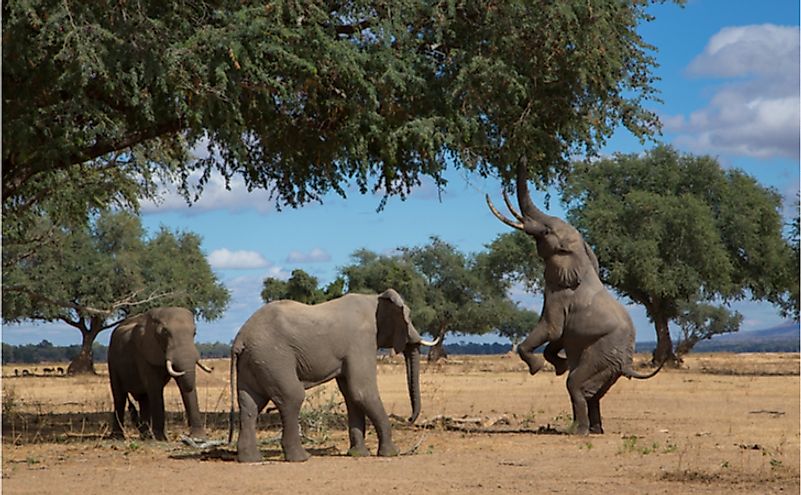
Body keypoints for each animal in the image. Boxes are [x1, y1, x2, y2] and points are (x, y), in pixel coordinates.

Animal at [111, 306, 216, 442]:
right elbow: (155, 387)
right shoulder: (144, 352)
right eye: (165, 332)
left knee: (144, 399)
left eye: (194, 332)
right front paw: (161, 438)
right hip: (112, 359)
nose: (213, 367)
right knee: (119, 396)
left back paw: (146, 437)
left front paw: (199, 437)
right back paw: (118, 437)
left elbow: (183, 384)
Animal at [225, 288, 438, 464]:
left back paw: (250, 459)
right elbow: (362, 392)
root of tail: (240, 338)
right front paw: (392, 453)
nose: (409, 419)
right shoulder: (361, 341)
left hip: (254, 361)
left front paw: (358, 454)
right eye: (408, 318)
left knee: (250, 404)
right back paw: (301, 458)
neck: (374, 299)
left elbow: (352, 396)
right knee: (291, 397)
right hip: (273, 358)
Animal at [484, 161, 660, 436]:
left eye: (546, 231)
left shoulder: (560, 295)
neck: (581, 257)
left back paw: (578, 431)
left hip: (602, 353)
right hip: (607, 363)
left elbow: (551, 329)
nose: (522, 159)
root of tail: (627, 363)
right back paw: (594, 430)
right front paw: (559, 364)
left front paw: (539, 367)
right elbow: (557, 338)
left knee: (575, 384)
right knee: (593, 393)